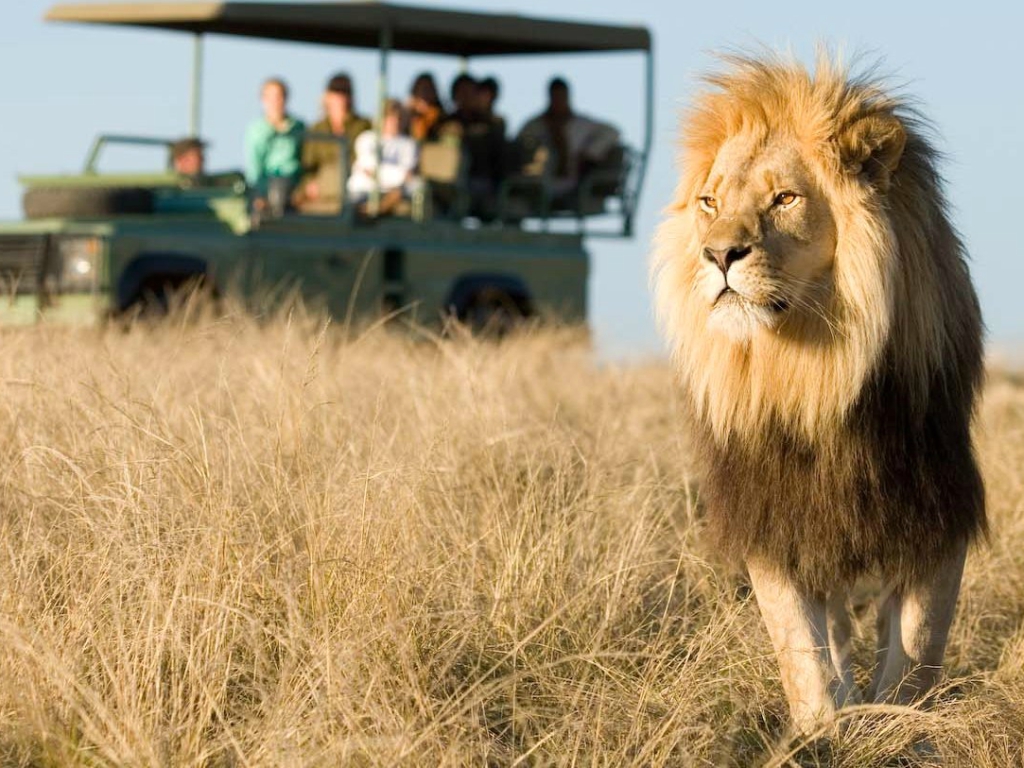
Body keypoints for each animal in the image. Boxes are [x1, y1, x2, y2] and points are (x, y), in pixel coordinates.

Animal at [651, 54, 987, 733]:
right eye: (709, 202)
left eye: (785, 198)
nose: (718, 254)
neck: (811, 376)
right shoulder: (776, 514)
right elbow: (802, 650)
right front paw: (822, 733)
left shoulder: (939, 509)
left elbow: (917, 648)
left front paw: (900, 732)